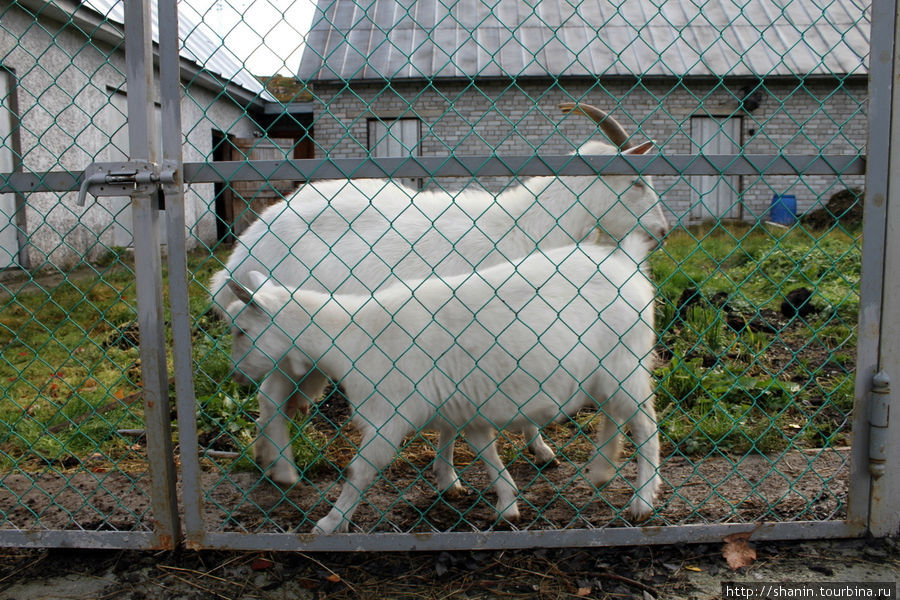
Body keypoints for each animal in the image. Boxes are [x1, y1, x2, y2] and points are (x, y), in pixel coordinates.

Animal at [207, 102, 664, 488]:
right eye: (637, 182)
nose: (661, 232)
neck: (524, 226)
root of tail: (244, 251)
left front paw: (463, 470)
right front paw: (523, 453)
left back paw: (267, 459)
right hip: (283, 339)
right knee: (269, 397)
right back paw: (284, 470)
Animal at [225, 234, 660, 536]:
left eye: (241, 330)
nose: (236, 375)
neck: (350, 336)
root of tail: (629, 268)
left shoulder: (387, 417)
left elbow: (359, 472)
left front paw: (330, 523)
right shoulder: (463, 406)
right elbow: (485, 452)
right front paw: (505, 504)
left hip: (625, 365)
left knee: (645, 426)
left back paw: (642, 500)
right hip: (608, 373)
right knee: (615, 416)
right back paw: (602, 469)